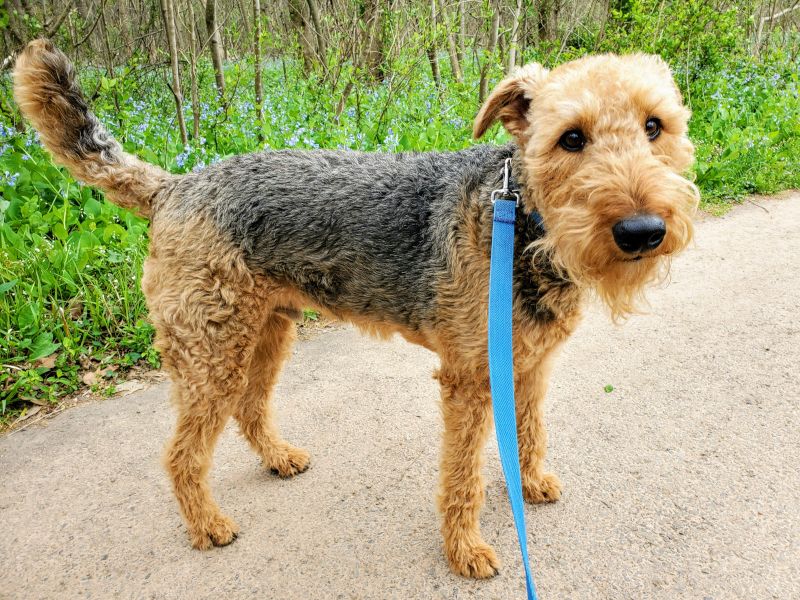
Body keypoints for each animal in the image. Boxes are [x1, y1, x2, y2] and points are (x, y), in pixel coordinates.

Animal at [15, 38, 696, 580]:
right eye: (570, 138)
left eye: (655, 126)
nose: (641, 231)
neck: (519, 221)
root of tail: (173, 187)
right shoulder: (469, 382)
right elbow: (463, 478)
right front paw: (465, 550)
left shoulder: (528, 367)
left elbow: (528, 434)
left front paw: (529, 485)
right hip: (212, 352)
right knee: (183, 454)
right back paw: (208, 524)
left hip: (266, 332)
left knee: (250, 409)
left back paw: (279, 458)